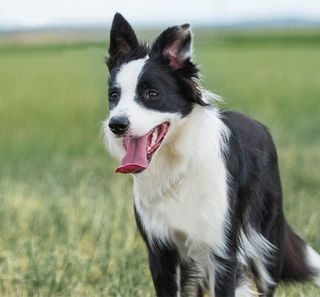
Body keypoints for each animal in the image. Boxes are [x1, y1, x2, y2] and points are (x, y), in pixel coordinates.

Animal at [103, 12, 320, 296]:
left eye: (152, 94)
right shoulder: (161, 252)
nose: (116, 125)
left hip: (266, 244)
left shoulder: (222, 252)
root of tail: (258, 125)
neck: (178, 164)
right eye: (114, 96)